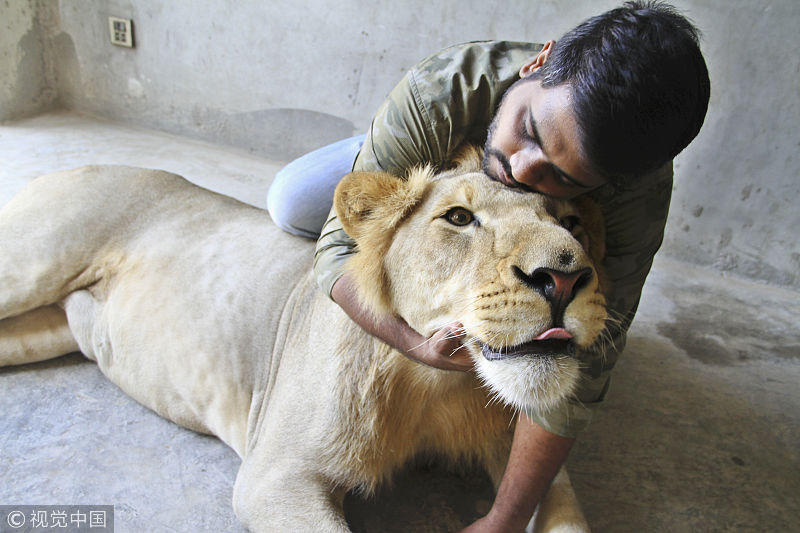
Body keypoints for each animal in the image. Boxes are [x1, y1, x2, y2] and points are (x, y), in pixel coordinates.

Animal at [0, 147, 608, 532]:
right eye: (458, 218)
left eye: (572, 223)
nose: (564, 278)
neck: (437, 386)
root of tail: (73, 165)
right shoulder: (275, 475)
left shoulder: (521, 447)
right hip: (29, 264)